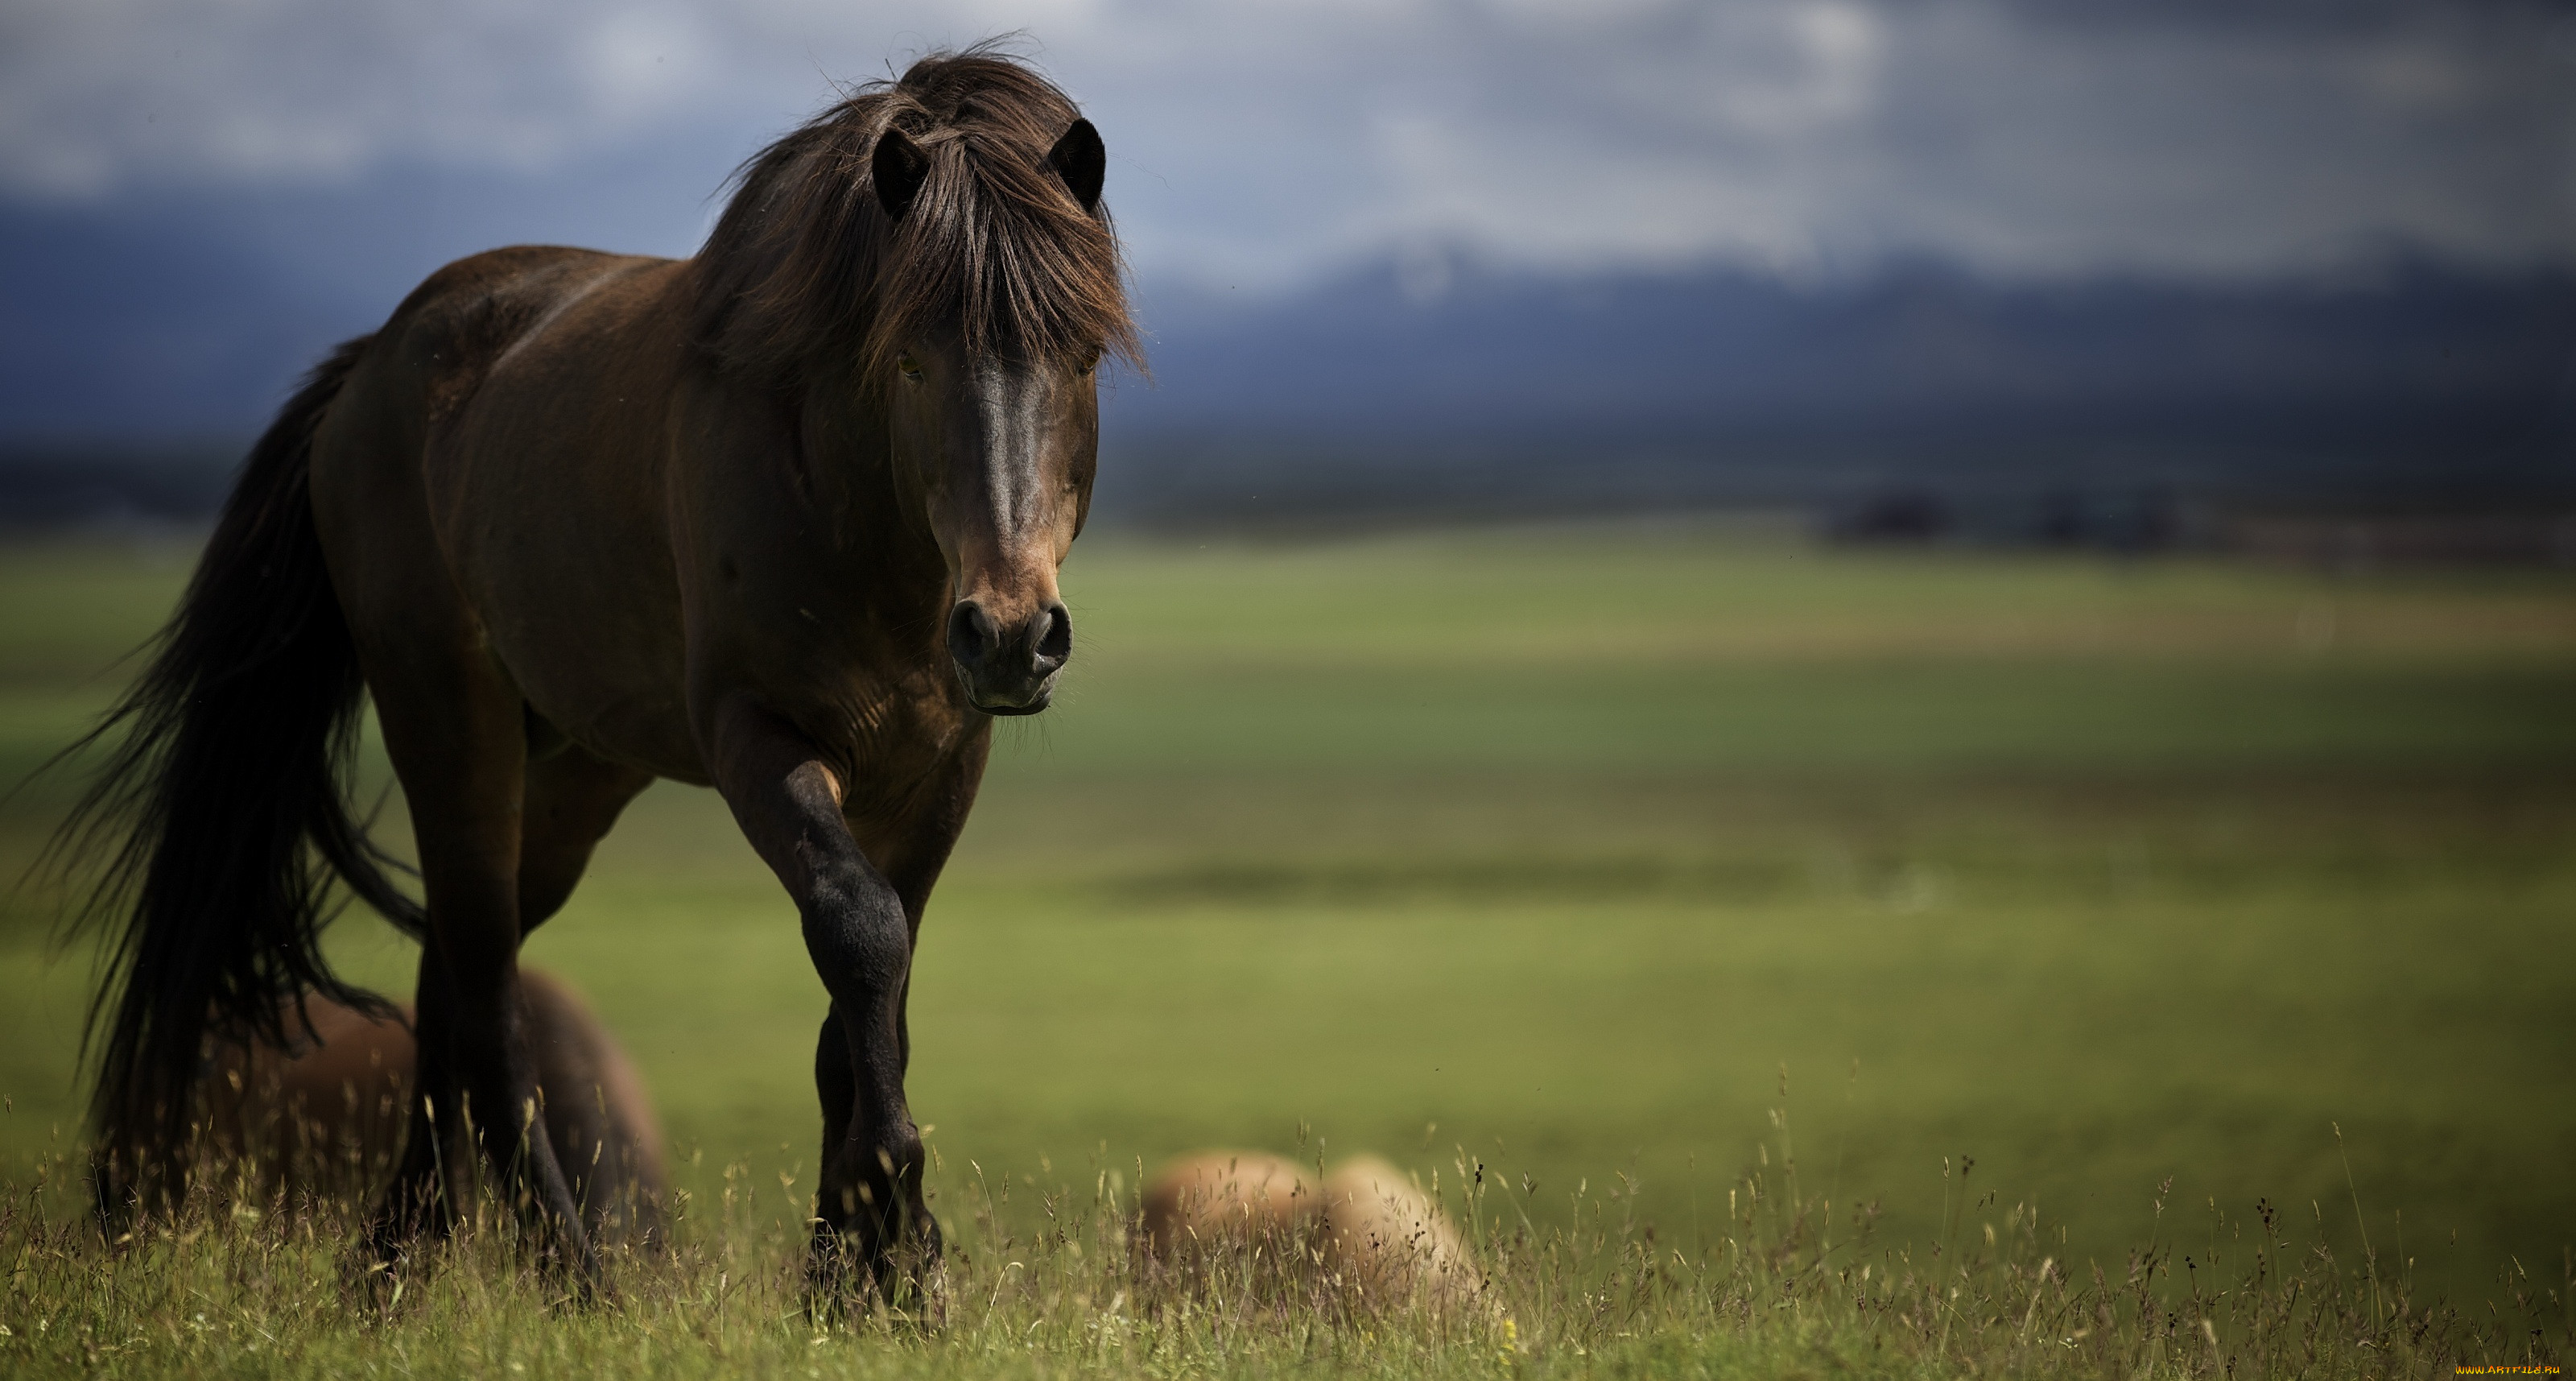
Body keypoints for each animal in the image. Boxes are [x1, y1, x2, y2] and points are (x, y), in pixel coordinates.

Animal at [58, 43, 1138, 1293]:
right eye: (909, 359)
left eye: (1082, 353)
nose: (1010, 632)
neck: (854, 511)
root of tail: (373, 365)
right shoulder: (759, 735)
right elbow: (857, 932)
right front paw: (897, 1248)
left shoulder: (938, 768)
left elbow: (872, 998)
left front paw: (857, 1271)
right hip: (451, 725)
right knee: (486, 998)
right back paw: (570, 1272)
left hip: (571, 774)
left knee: (450, 982)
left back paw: (396, 1264)